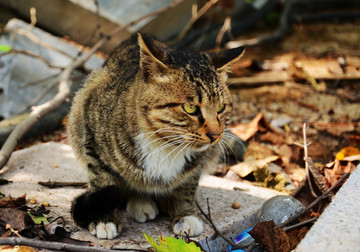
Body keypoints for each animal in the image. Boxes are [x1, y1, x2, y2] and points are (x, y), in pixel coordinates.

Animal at [67, 33, 245, 238]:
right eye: (190, 108)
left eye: (221, 107)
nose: (215, 135)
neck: (165, 144)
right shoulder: (92, 133)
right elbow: (102, 179)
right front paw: (104, 219)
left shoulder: (198, 163)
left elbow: (187, 186)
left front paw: (185, 215)